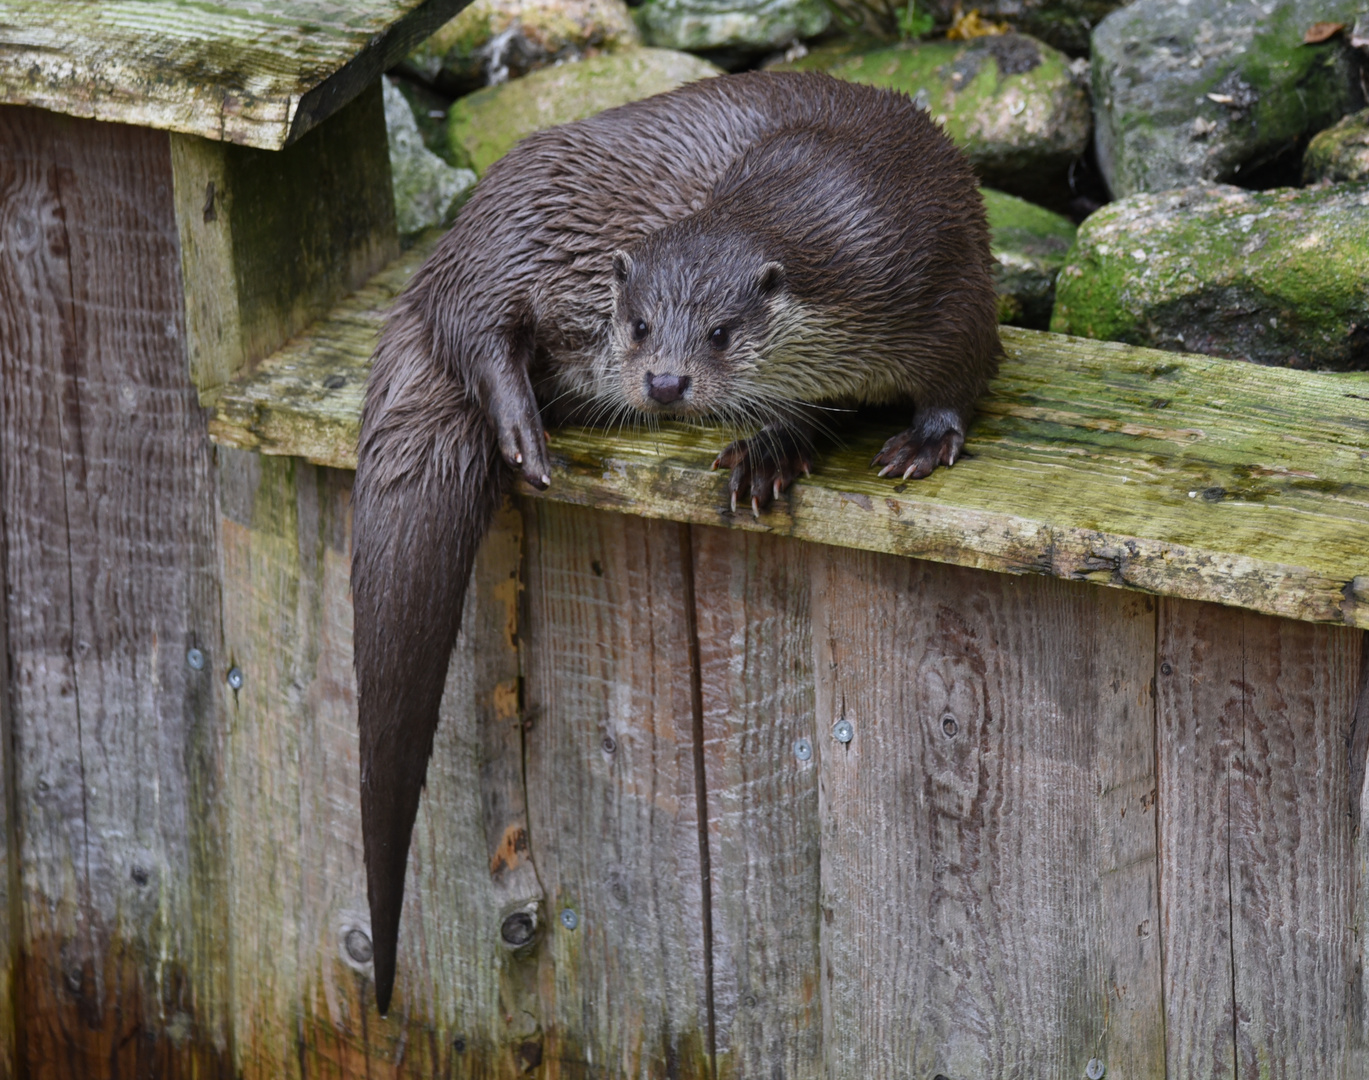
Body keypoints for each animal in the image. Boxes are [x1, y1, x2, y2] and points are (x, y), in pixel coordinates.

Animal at [350, 69, 996, 1012]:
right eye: (639, 323)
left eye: (721, 331)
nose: (661, 382)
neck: (848, 219)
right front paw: (769, 448)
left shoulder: (950, 286)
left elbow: (958, 375)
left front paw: (899, 442)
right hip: (520, 219)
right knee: (477, 323)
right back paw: (521, 429)